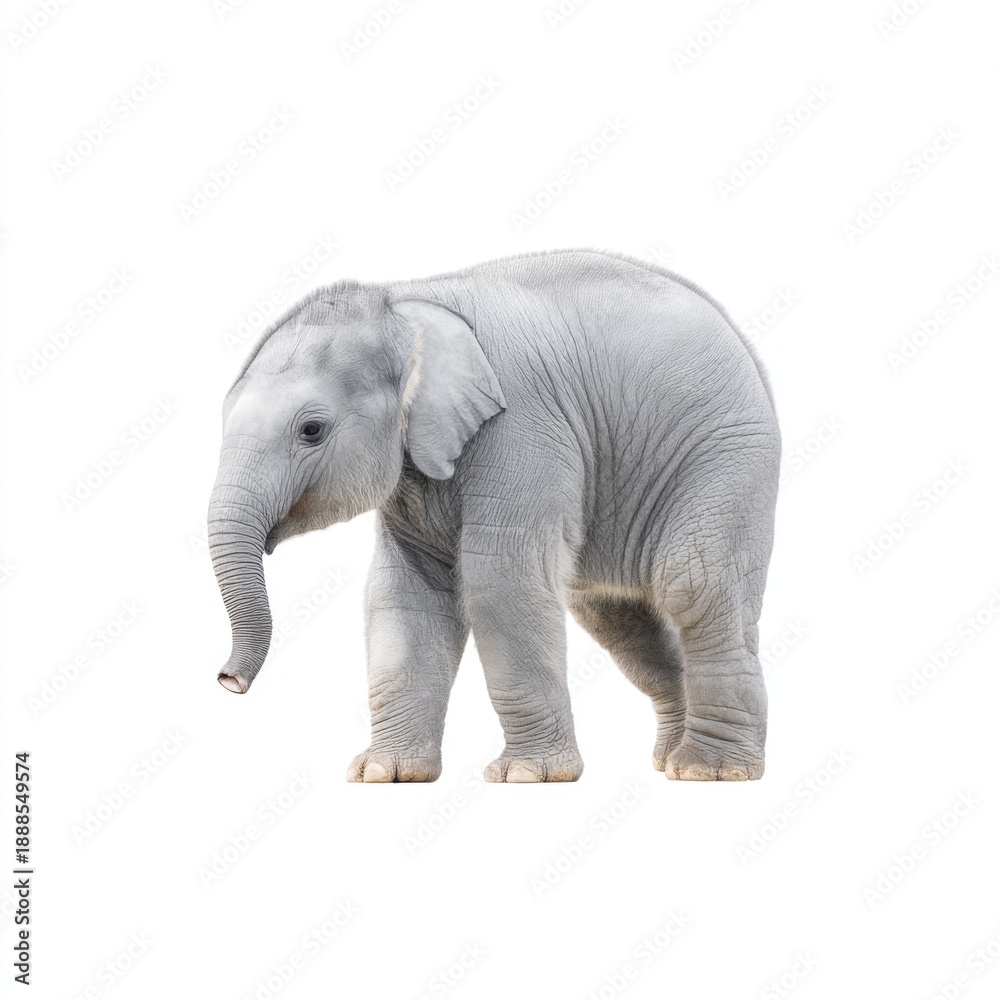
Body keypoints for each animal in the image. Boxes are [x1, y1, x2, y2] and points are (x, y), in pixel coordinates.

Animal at [208, 249, 781, 783]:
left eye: (312, 430)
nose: (227, 682)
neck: (406, 302)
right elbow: (403, 593)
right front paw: (383, 774)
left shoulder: (523, 426)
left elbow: (499, 579)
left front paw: (526, 776)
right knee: (615, 617)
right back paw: (669, 762)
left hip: (728, 458)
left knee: (691, 583)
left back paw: (709, 771)